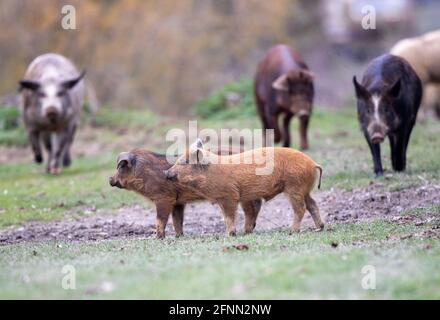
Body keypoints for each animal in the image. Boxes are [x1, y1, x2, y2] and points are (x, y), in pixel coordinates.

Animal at [109, 149, 262, 238]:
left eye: (121, 166)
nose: (110, 179)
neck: (145, 173)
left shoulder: (164, 198)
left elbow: (161, 219)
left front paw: (158, 238)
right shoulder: (178, 202)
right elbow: (177, 220)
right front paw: (179, 236)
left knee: (252, 208)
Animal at [165, 139, 324, 235]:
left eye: (184, 162)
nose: (165, 172)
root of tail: (313, 163)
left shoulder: (229, 196)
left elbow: (229, 216)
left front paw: (230, 235)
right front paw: (242, 232)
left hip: (294, 187)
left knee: (301, 208)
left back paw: (292, 231)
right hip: (304, 189)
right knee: (313, 205)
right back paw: (319, 228)